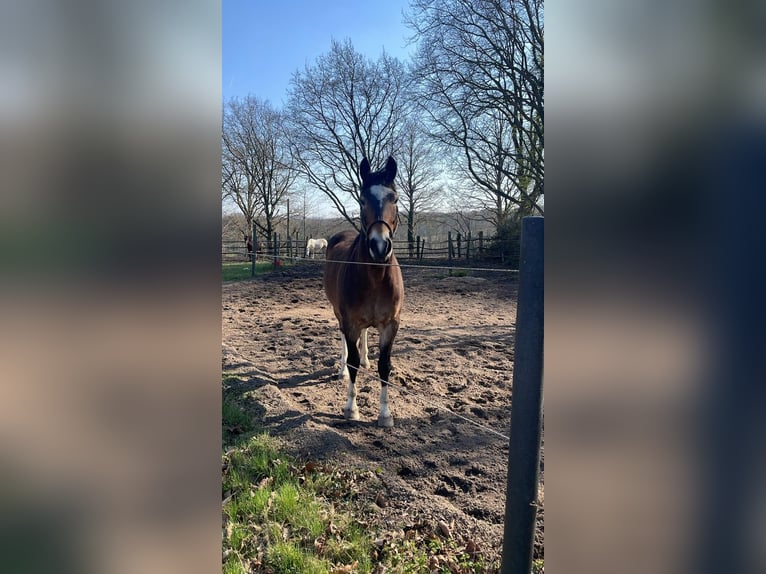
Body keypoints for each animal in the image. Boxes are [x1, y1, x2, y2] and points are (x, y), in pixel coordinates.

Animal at [323, 156, 404, 427]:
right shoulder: (350, 322)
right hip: (339, 315)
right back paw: (340, 370)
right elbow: (353, 362)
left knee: (365, 337)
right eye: (362, 199)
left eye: (394, 198)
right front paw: (351, 409)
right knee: (345, 345)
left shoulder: (390, 324)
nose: (379, 246)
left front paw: (385, 414)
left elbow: (384, 366)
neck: (376, 277)